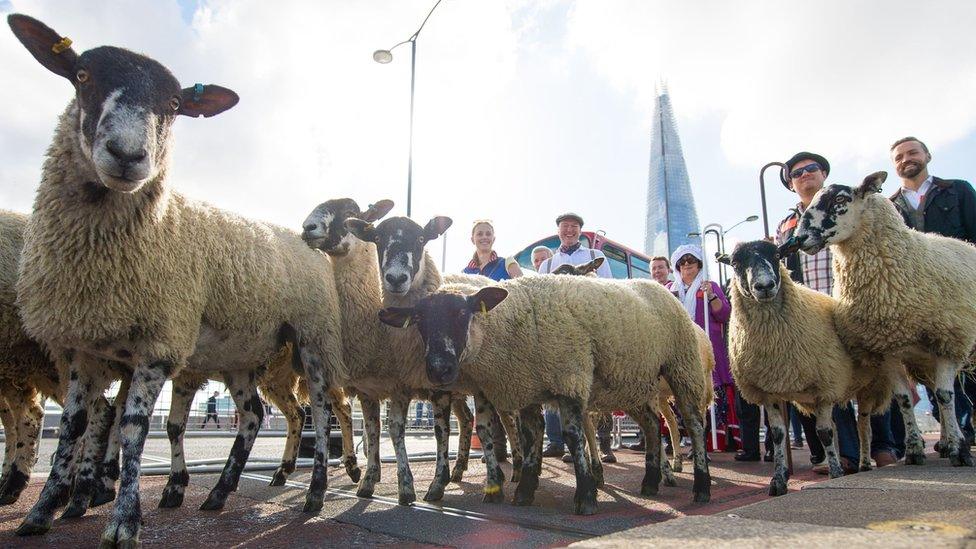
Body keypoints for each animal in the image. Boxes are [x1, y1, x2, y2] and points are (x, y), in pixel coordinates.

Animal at [9, 12, 346, 544]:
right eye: (81, 75)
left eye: (173, 104)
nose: (128, 154)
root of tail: (305, 237)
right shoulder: (81, 346)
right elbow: (75, 426)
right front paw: (41, 511)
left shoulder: (160, 341)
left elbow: (132, 427)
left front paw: (124, 520)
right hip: (240, 350)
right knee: (252, 415)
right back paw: (219, 492)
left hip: (312, 337)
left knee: (322, 410)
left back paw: (312, 494)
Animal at [380, 274, 708, 512]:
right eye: (419, 321)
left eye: (462, 312)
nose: (439, 369)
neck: (511, 323)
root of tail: (659, 286)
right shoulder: (525, 386)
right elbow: (530, 437)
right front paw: (524, 492)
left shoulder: (570, 378)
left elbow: (573, 436)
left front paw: (585, 497)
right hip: (632, 383)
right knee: (652, 424)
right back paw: (650, 483)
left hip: (682, 366)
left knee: (693, 423)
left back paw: (700, 487)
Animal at [712, 238, 920, 494]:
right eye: (735, 262)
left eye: (777, 255)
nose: (765, 285)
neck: (773, 340)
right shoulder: (768, 391)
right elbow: (779, 434)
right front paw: (778, 480)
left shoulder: (825, 386)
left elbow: (825, 432)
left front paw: (835, 472)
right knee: (861, 424)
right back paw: (862, 464)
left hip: (881, 375)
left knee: (889, 411)